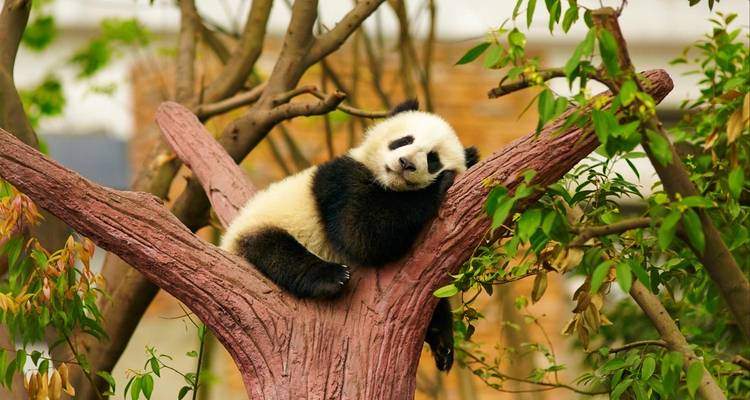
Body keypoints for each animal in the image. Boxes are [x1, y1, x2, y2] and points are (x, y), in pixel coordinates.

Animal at [220, 100, 478, 371]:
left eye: (432, 159)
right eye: (404, 140)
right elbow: (362, 234)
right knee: (277, 251)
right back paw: (331, 277)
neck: (389, 184)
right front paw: (440, 184)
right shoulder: (341, 181)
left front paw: (442, 340)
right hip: (263, 225)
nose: (406, 162)